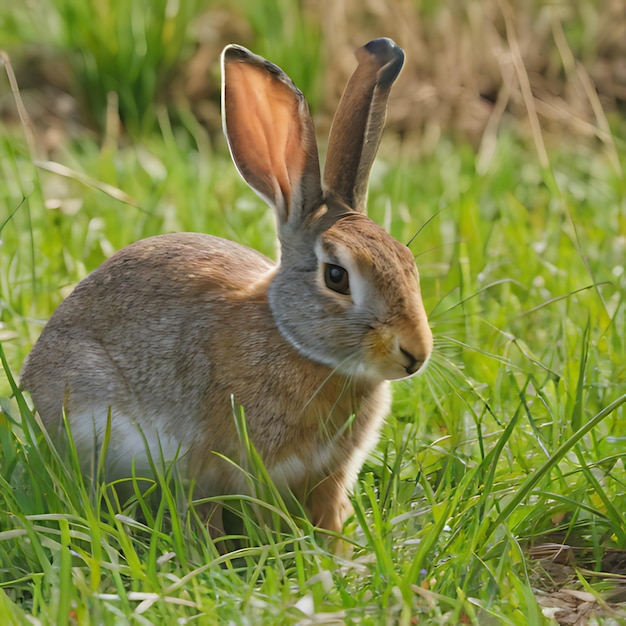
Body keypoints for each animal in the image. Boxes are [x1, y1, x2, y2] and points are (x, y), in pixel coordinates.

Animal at [19, 37, 428, 532]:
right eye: (336, 276)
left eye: (408, 262)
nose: (416, 354)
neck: (295, 343)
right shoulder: (233, 464)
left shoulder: (329, 475)